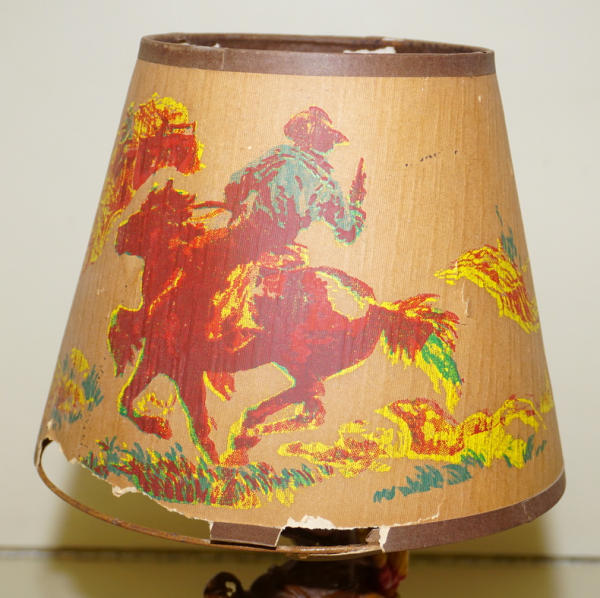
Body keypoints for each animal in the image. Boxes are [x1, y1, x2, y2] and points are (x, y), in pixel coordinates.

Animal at [109, 179, 460, 465]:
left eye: (152, 214)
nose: (119, 237)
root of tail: (374, 306)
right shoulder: (158, 359)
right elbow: (127, 396)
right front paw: (158, 425)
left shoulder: (187, 370)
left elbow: (198, 423)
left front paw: (213, 463)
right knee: (311, 409)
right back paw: (247, 433)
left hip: (296, 358)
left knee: (309, 397)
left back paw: (246, 430)